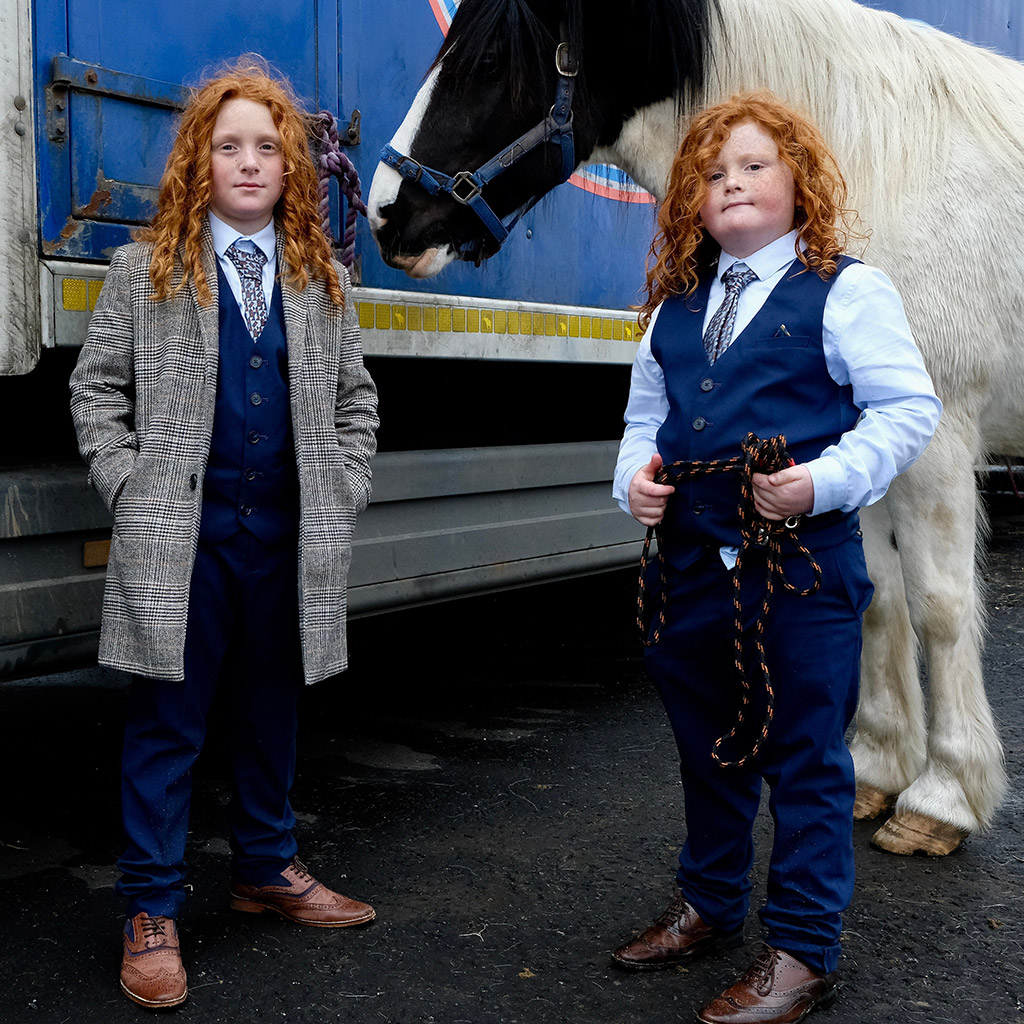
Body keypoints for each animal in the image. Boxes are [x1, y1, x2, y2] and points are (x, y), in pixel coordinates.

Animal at [366, 0, 1015, 851]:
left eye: (488, 62)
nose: (386, 214)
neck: (881, 166)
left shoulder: (936, 437)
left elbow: (940, 606)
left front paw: (941, 800)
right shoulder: (852, 451)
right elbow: (879, 599)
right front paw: (877, 772)